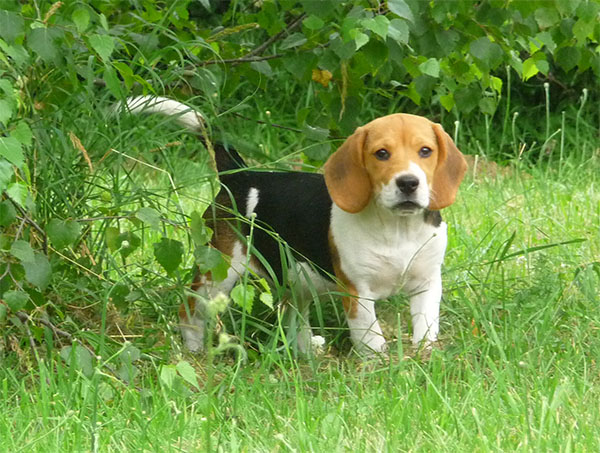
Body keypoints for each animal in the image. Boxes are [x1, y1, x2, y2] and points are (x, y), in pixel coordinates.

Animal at [124, 97, 466, 354]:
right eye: (381, 154)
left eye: (425, 151)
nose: (408, 183)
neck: (398, 228)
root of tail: (240, 176)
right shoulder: (358, 292)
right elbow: (371, 338)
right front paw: (377, 367)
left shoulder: (427, 284)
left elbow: (425, 328)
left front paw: (424, 357)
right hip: (218, 272)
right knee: (189, 310)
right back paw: (194, 350)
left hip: (293, 281)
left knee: (293, 316)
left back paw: (305, 349)